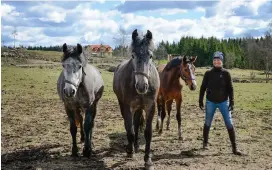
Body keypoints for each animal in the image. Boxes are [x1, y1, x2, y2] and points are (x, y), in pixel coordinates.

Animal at [112, 29, 159, 170]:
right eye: (133, 55)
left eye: (150, 56)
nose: (142, 86)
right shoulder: (128, 106)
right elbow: (130, 129)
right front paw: (130, 151)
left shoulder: (150, 107)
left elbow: (148, 133)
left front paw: (148, 160)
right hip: (123, 104)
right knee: (129, 125)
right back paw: (131, 146)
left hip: (139, 107)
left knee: (137, 122)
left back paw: (136, 145)